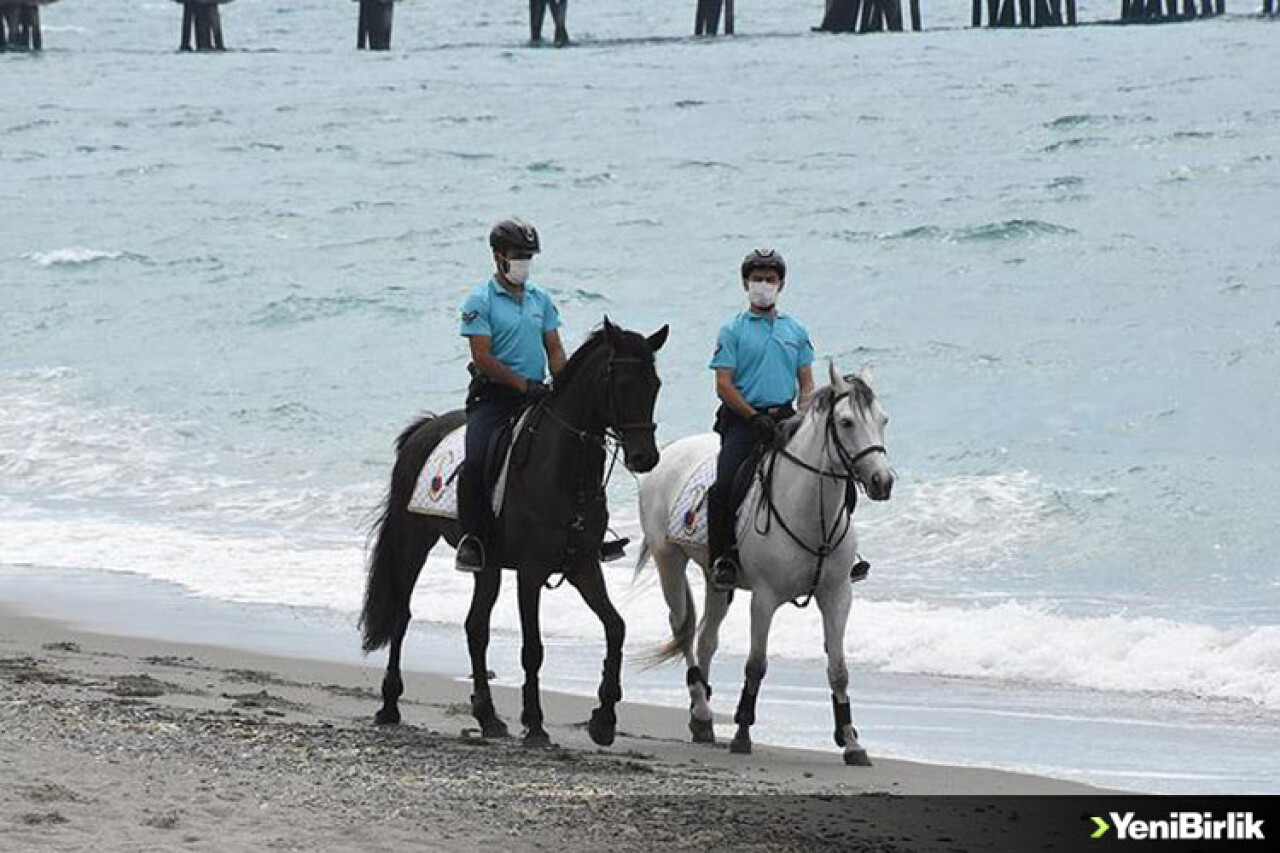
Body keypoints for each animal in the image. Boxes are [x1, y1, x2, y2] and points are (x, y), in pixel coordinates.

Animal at [634, 361, 896, 758]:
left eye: (883, 420)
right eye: (847, 422)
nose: (883, 481)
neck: (810, 510)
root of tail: (669, 452)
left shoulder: (837, 595)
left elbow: (838, 669)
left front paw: (851, 741)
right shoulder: (764, 597)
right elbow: (756, 665)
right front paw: (742, 732)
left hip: (715, 578)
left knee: (706, 638)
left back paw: (702, 717)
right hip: (669, 562)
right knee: (683, 630)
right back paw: (701, 707)